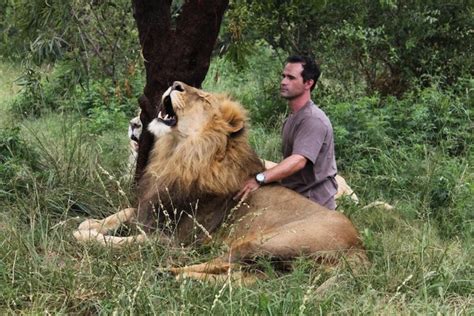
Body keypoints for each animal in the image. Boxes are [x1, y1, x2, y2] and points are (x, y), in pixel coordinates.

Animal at [76, 81, 368, 282]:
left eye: (204, 100)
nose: (175, 83)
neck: (178, 155)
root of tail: (360, 247)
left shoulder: (175, 238)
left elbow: (129, 240)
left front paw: (86, 235)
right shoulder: (152, 207)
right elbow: (124, 212)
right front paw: (90, 223)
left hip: (262, 242)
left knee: (222, 264)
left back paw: (169, 271)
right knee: (244, 278)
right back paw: (181, 277)